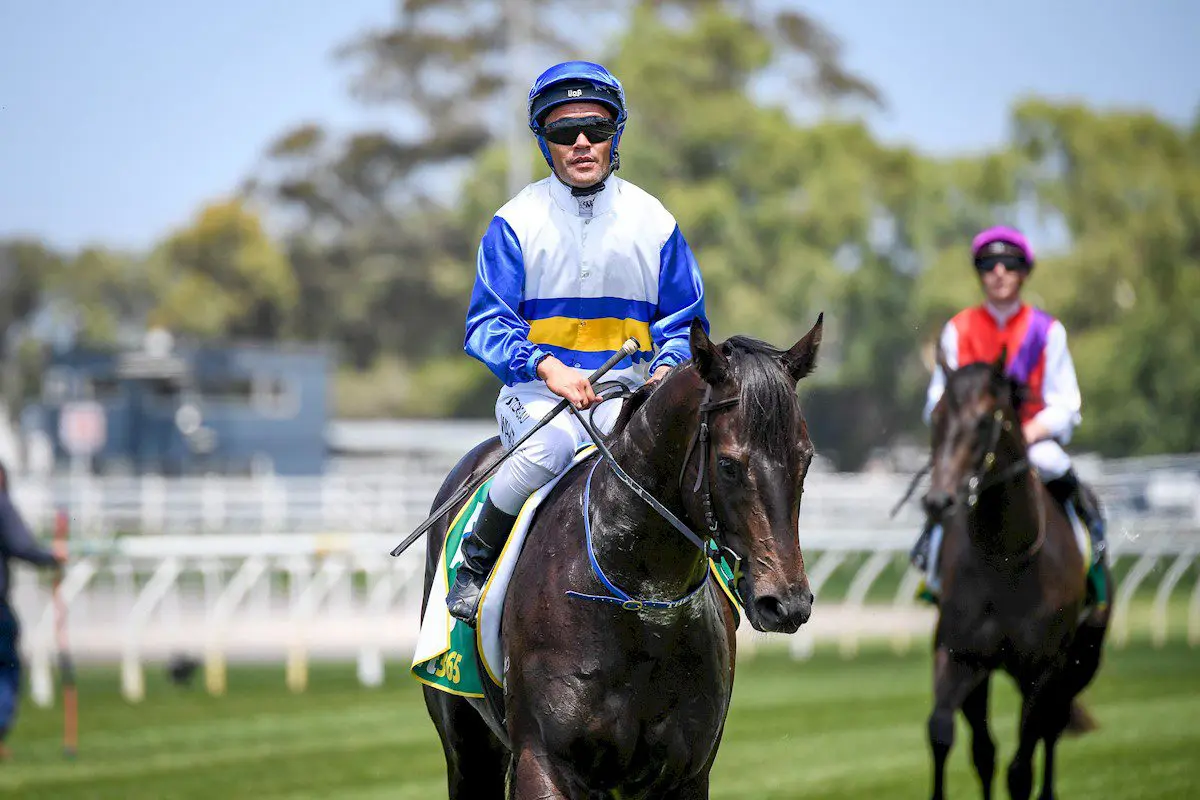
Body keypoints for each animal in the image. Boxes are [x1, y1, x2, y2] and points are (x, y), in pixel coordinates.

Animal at [417, 319, 820, 800]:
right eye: (728, 465)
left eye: (806, 458)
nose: (786, 603)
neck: (635, 600)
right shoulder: (543, 762)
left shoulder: (686, 773)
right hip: (466, 746)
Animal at [921, 350, 1108, 800]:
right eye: (936, 415)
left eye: (984, 420)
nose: (938, 501)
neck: (1003, 559)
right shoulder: (961, 653)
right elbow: (945, 734)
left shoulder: (1041, 667)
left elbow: (1021, 768)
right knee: (989, 748)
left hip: (1081, 658)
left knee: (1052, 728)